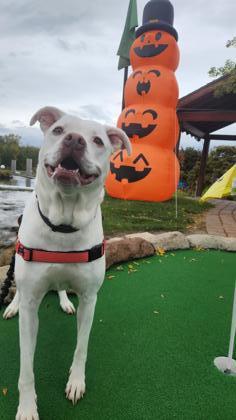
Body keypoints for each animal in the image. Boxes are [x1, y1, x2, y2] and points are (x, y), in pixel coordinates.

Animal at [12, 107, 131, 420]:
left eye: (98, 141)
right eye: (58, 130)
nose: (75, 140)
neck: (63, 222)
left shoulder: (90, 298)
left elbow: (81, 347)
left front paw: (76, 381)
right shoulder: (31, 306)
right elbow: (25, 367)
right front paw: (27, 406)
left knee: (62, 286)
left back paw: (65, 301)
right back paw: (11, 305)